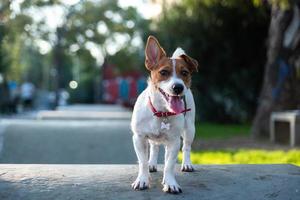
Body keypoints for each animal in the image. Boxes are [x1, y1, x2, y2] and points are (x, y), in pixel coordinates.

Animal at [130, 35, 198, 193]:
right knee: (154, 147)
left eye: (184, 73)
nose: (178, 87)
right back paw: (152, 163)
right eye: (163, 72)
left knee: (186, 147)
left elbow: (169, 165)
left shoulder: (174, 141)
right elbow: (142, 162)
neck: (162, 112)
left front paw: (170, 183)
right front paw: (142, 180)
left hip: (190, 129)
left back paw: (187, 164)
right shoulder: (139, 138)